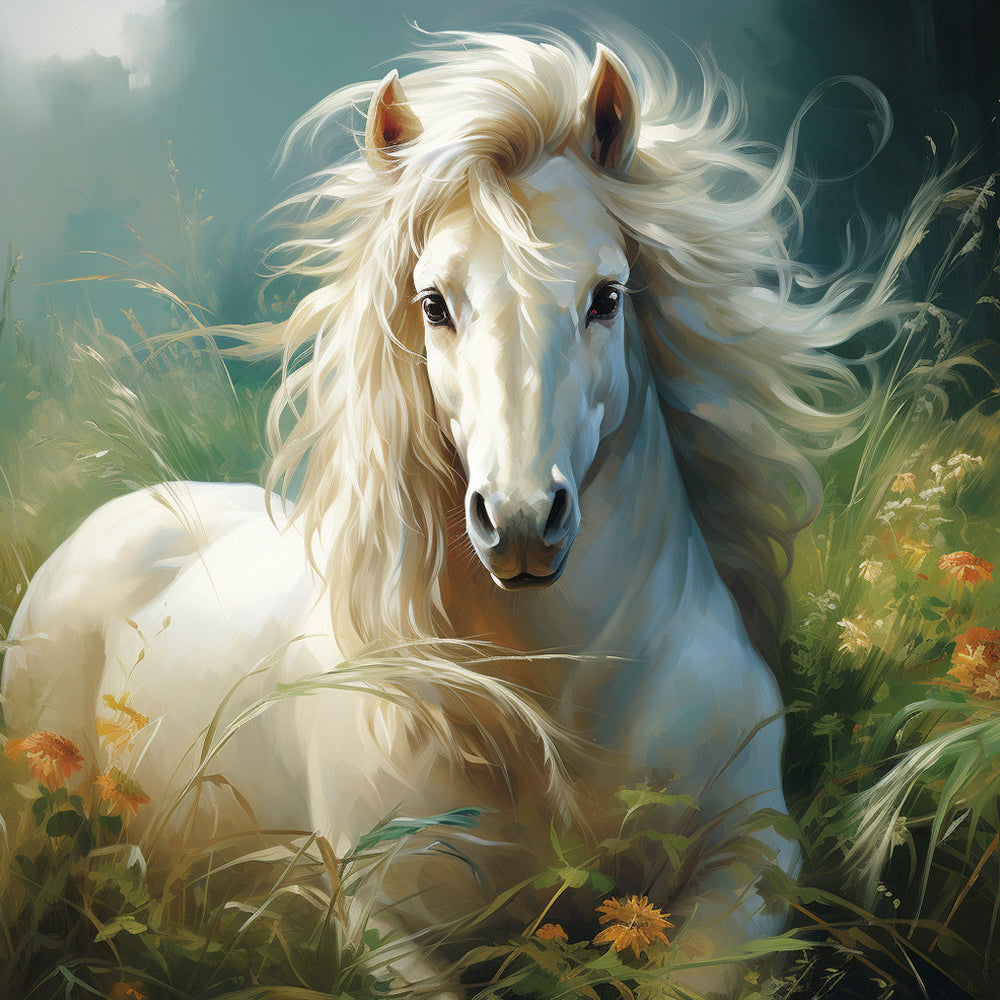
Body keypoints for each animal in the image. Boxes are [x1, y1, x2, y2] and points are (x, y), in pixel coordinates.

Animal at [2, 28, 935, 998]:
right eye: (433, 304)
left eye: (606, 296)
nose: (521, 520)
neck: (559, 725)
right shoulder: (384, 924)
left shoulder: (754, 866)